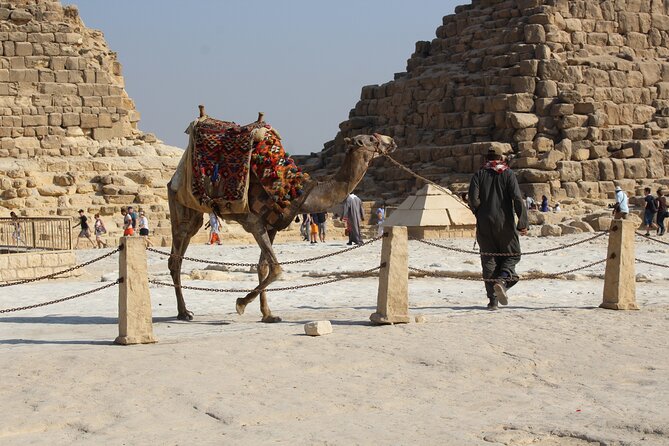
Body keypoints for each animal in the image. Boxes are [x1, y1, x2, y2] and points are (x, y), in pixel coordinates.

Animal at [167, 109, 397, 322]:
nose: (391, 141)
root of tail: (173, 178)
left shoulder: (272, 226)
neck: (297, 191)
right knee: (176, 258)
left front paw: (268, 314)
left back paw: (183, 310)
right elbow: (276, 269)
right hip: (180, 203)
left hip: (194, 213)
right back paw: (183, 312)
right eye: (370, 139)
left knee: (180, 252)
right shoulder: (255, 223)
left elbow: (263, 267)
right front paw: (241, 303)